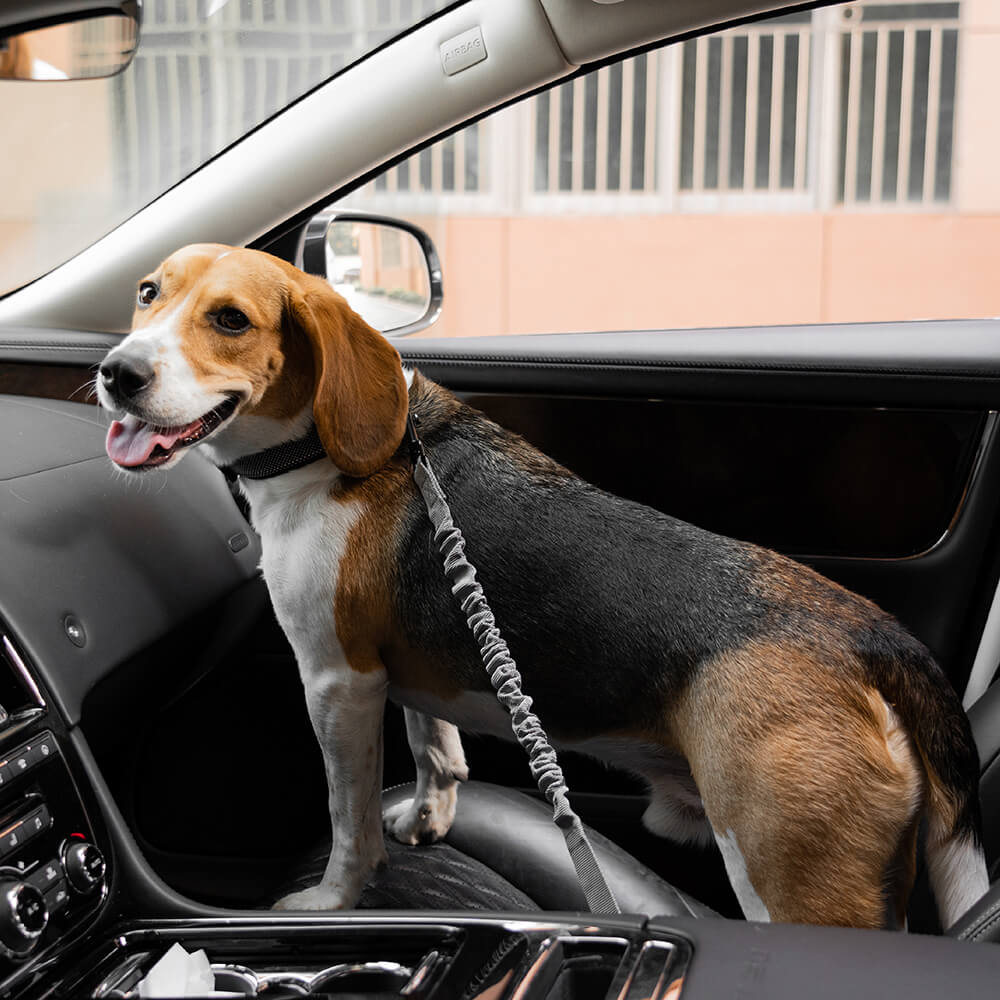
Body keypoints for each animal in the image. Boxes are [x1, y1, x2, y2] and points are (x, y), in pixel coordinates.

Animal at [97, 244, 988, 928]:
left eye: (230, 320)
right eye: (147, 292)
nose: (114, 373)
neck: (312, 449)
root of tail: (869, 636)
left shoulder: (335, 682)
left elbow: (347, 819)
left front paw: (335, 899)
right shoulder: (397, 666)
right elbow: (432, 746)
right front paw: (430, 815)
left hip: (794, 878)